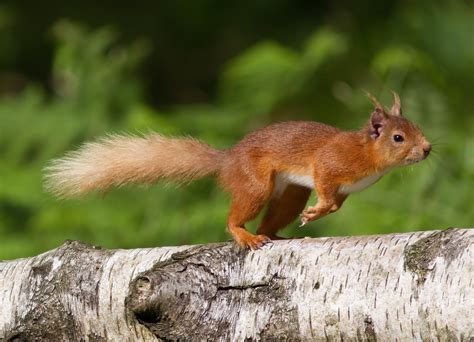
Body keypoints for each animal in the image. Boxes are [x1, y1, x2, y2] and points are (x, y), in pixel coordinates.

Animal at [46, 92, 432, 250]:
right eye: (398, 137)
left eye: (416, 126)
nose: (427, 149)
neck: (368, 156)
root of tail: (228, 159)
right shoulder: (328, 163)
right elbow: (325, 187)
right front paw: (318, 211)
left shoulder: (344, 189)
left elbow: (336, 204)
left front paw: (317, 214)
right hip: (256, 184)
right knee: (236, 219)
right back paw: (246, 236)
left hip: (289, 193)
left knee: (270, 222)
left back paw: (277, 235)